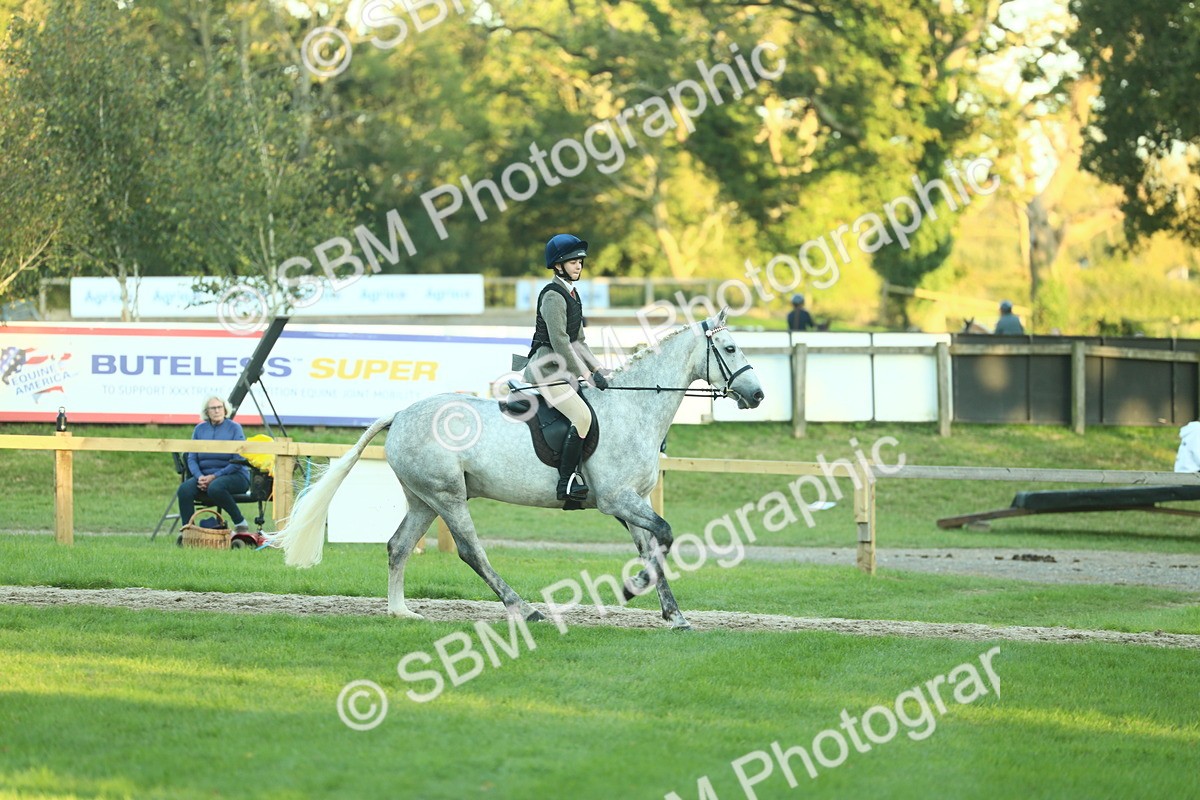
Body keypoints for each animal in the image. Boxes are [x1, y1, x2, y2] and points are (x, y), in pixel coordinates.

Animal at [268, 309, 765, 630]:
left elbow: (653, 548)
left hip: (424, 499)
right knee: (471, 552)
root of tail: (401, 414)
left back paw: (401, 612)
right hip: (448, 496)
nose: (757, 395)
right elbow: (664, 535)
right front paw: (634, 590)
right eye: (729, 347)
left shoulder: (633, 501)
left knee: (398, 546)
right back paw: (525, 609)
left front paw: (673, 614)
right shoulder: (617, 500)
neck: (633, 406)